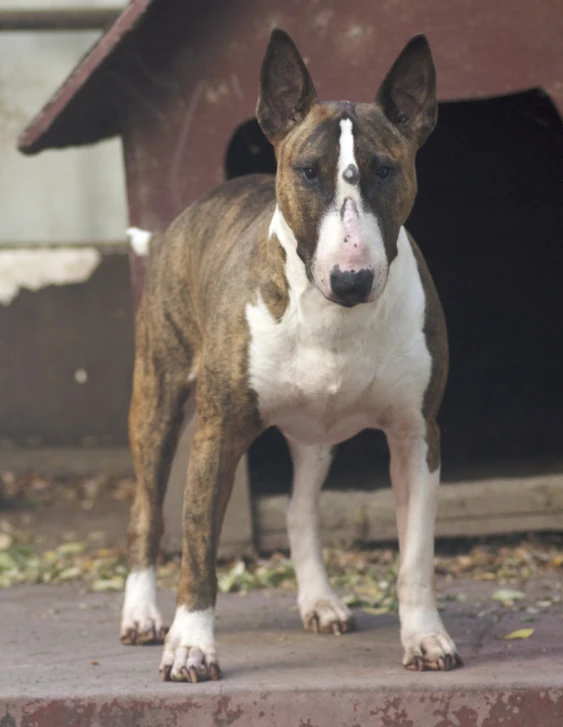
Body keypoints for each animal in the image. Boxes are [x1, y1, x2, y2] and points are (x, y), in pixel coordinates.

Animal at [121, 28, 460, 684]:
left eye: (386, 170)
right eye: (307, 171)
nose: (352, 280)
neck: (334, 318)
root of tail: (184, 216)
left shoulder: (417, 434)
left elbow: (416, 555)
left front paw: (426, 638)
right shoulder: (217, 431)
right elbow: (197, 546)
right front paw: (191, 645)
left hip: (315, 433)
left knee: (302, 510)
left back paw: (320, 601)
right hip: (158, 396)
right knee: (148, 511)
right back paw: (142, 615)